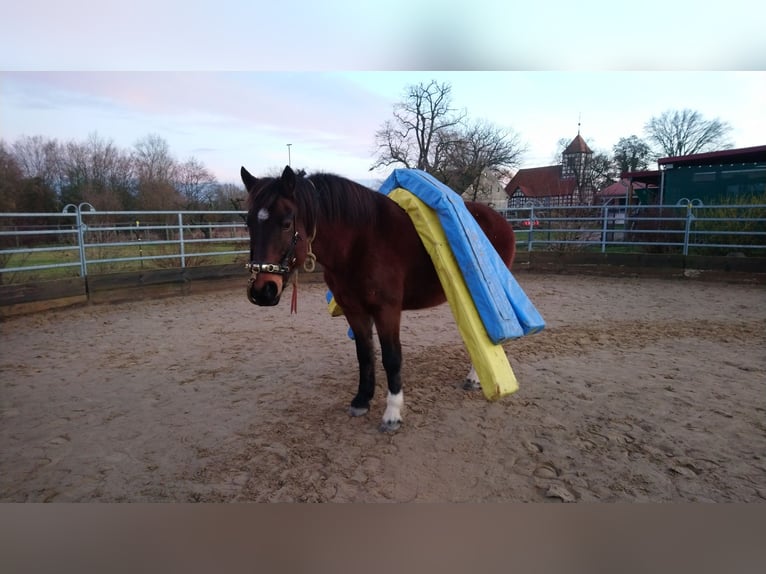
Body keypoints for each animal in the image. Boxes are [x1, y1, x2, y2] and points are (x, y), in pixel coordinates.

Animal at [243, 165, 520, 432]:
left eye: (286, 223)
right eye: (248, 224)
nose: (262, 291)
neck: (361, 242)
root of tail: (501, 220)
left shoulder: (387, 311)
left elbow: (392, 358)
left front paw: (392, 414)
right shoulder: (354, 310)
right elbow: (365, 354)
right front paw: (362, 400)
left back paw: (474, 378)